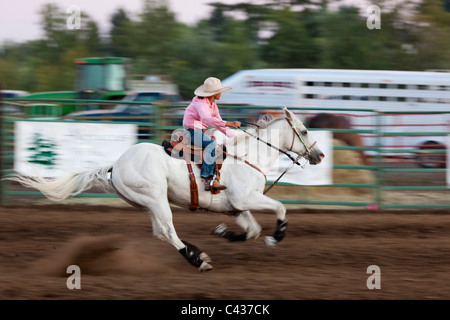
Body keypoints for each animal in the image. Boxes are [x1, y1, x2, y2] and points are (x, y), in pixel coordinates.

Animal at [7, 107, 324, 270]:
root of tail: (115, 165)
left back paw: (198, 253)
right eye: (304, 131)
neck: (248, 156)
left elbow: (252, 230)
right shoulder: (247, 198)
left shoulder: (236, 207)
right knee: (168, 231)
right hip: (156, 199)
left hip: (148, 203)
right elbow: (280, 209)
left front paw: (223, 232)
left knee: (160, 232)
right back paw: (197, 260)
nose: (319, 155)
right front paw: (275, 238)